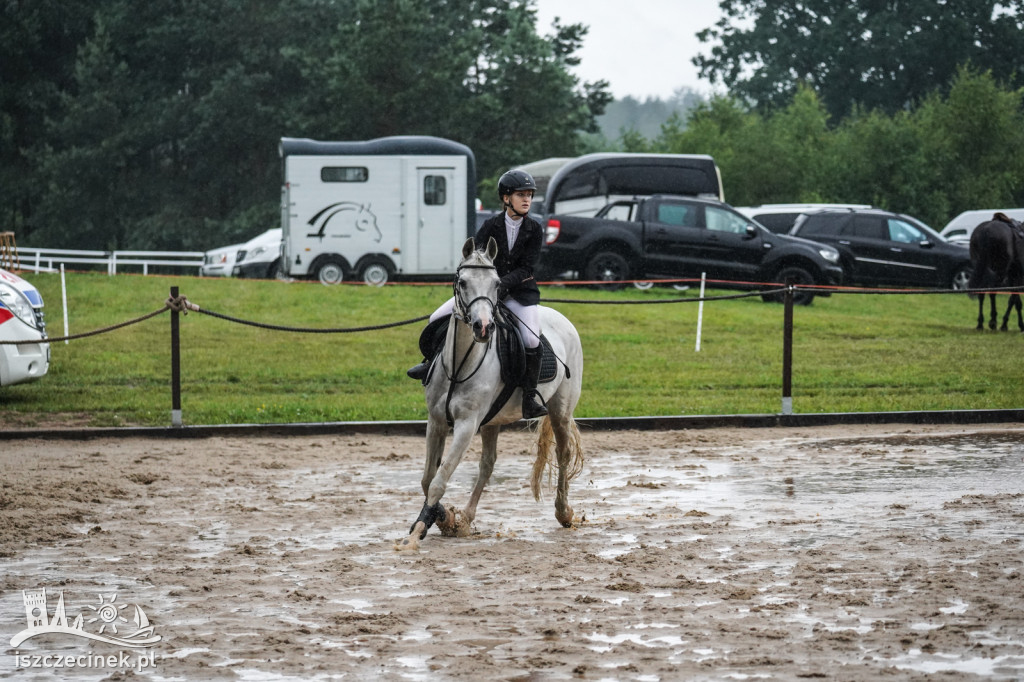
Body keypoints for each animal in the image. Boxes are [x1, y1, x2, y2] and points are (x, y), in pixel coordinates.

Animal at [399, 235, 585, 548]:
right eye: (462, 282)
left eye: (497, 284)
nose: (483, 327)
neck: (460, 363)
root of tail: (562, 319)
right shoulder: (436, 421)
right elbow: (428, 478)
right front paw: (445, 518)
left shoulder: (466, 425)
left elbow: (439, 479)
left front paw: (418, 531)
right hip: (492, 421)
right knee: (487, 465)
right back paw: (466, 518)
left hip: (559, 410)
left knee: (563, 453)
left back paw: (563, 512)